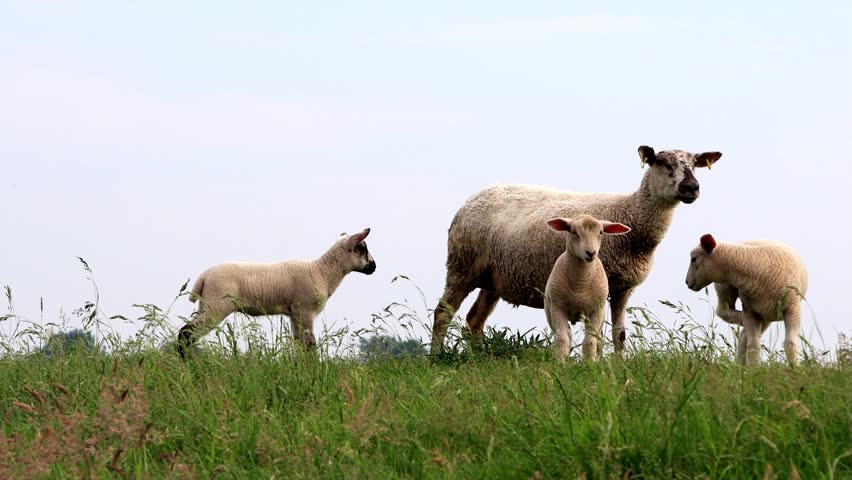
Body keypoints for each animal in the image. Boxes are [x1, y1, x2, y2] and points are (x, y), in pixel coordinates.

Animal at [176, 229, 376, 358]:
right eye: (363, 248)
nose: (374, 266)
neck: (322, 272)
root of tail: (204, 276)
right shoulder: (306, 311)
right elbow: (310, 345)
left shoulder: (295, 314)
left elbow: (299, 345)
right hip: (217, 306)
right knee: (186, 333)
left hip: (206, 304)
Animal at [544, 215, 631, 362]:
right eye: (574, 232)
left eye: (601, 232)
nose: (591, 253)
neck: (580, 284)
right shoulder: (557, 307)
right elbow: (562, 339)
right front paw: (560, 362)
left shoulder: (596, 311)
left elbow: (590, 341)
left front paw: (590, 362)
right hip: (549, 311)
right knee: (567, 335)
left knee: (598, 338)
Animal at [685, 234, 808, 365]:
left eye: (693, 259)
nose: (686, 281)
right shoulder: (750, 310)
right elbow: (753, 345)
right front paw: (753, 368)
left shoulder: (792, 308)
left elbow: (790, 343)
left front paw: (795, 367)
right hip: (724, 287)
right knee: (724, 311)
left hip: (767, 314)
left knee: (743, 334)